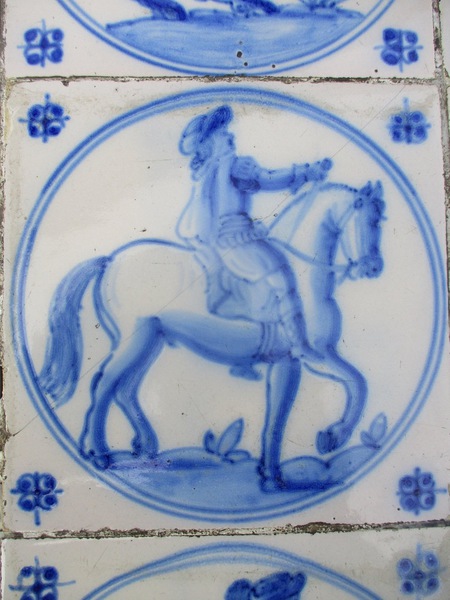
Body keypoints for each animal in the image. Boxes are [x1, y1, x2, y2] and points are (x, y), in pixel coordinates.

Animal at [39, 180, 385, 490]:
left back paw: (144, 447)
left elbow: (332, 392)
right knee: (105, 384)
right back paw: (101, 454)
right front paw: (304, 455)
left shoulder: (302, 359)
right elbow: (310, 404)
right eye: (370, 221)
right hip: (136, 339)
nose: (373, 268)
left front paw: (303, 454)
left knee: (124, 388)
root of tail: (110, 260)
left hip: (151, 340)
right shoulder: (302, 359)